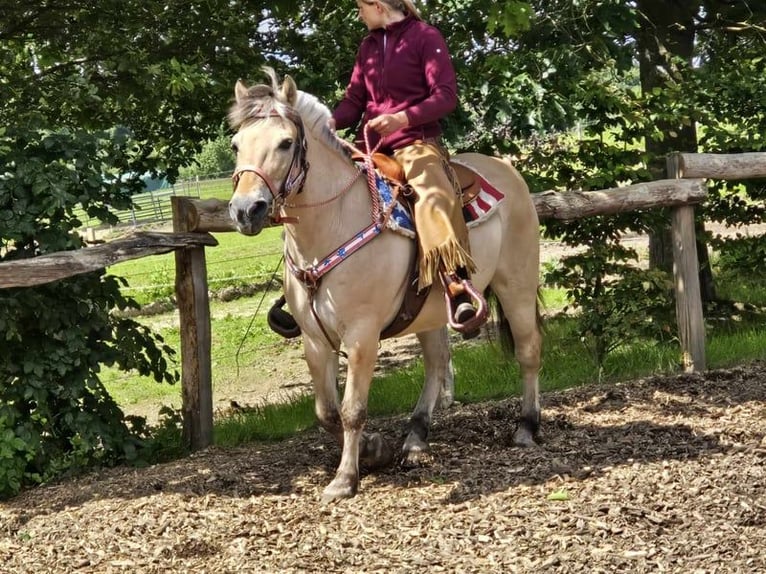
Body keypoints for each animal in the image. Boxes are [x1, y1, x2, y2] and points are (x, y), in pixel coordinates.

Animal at [225, 68, 544, 504]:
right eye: (237, 144)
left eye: (285, 142)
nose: (246, 210)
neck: (334, 223)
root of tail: (506, 171)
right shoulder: (314, 339)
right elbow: (326, 411)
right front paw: (375, 449)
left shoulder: (362, 335)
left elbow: (352, 410)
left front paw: (345, 478)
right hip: (431, 310)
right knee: (436, 365)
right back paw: (415, 440)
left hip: (517, 284)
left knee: (528, 350)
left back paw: (526, 427)